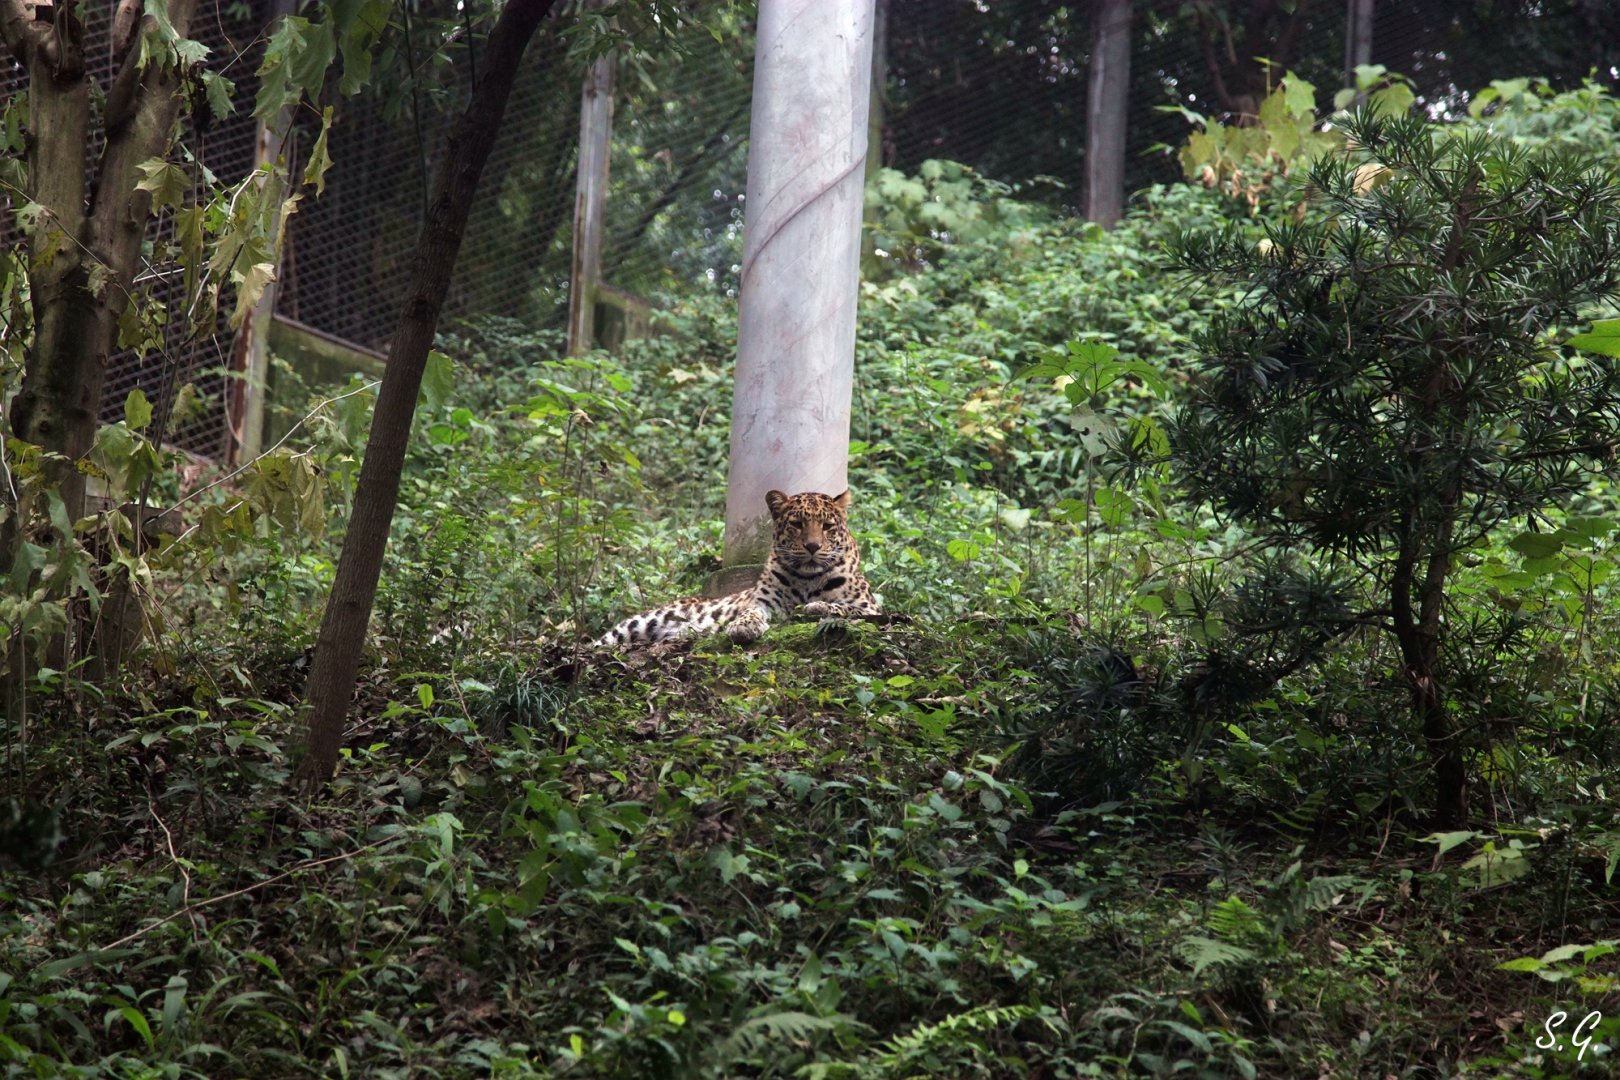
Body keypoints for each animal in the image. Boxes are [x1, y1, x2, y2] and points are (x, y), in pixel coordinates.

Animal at [595, 489, 880, 648]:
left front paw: (816, 606)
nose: (812, 546)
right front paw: (742, 627)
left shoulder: (871, 608)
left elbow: (842, 607)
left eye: (827, 526)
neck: (807, 579)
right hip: (639, 623)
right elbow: (749, 611)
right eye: (797, 524)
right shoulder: (764, 603)